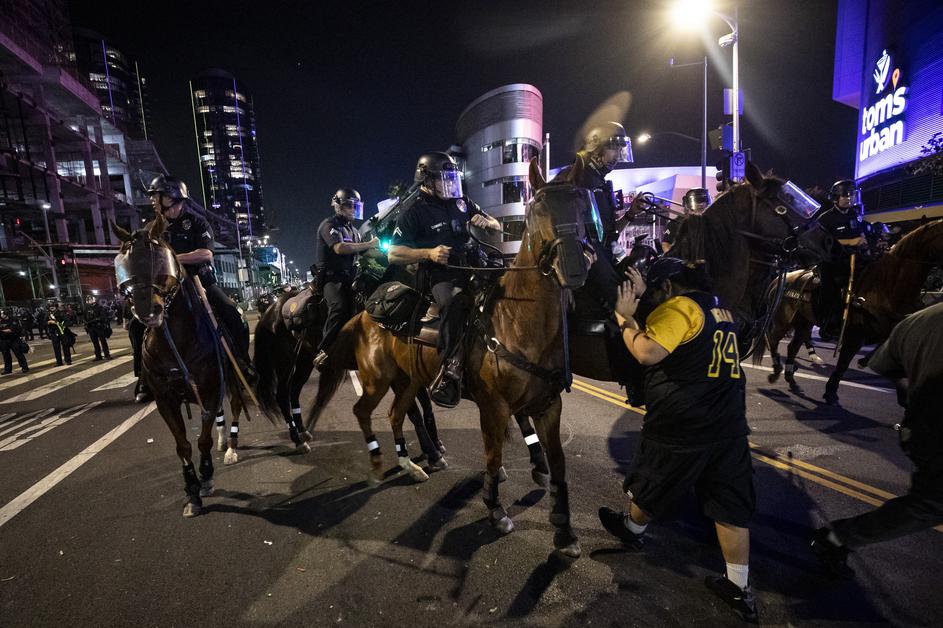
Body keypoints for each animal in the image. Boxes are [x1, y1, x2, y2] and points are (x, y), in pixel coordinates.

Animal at [112, 216, 266, 517]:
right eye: (126, 263)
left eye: (161, 259)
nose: (147, 311)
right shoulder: (166, 400)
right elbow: (183, 446)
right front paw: (192, 491)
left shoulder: (211, 388)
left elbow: (202, 440)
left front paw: (206, 478)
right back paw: (223, 441)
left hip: (233, 376)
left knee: (235, 407)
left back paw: (230, 447)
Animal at [306, 158, 596, 556]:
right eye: (537, 209)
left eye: (584, 206)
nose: (575, 268)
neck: (517, 321)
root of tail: (363, 314)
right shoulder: (494, 407)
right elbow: (493, 456)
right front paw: (495, 510)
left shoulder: (549, 406)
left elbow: (558, 463)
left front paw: (564, 530)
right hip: (377, 379)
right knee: (363, 411)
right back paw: (380, 461)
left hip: (408, 381)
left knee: (397, 414)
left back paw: (412, 463)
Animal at [763, 218, 943, 405]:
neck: (886, 286)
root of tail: (781, 279)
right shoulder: (855, 336)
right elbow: (843, 364)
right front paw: (831, 392)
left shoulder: (891, 332)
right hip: (783, 320)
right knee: (773, 339)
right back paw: (776, 369)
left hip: (803, 322)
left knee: (792, 347)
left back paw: (791, 377)